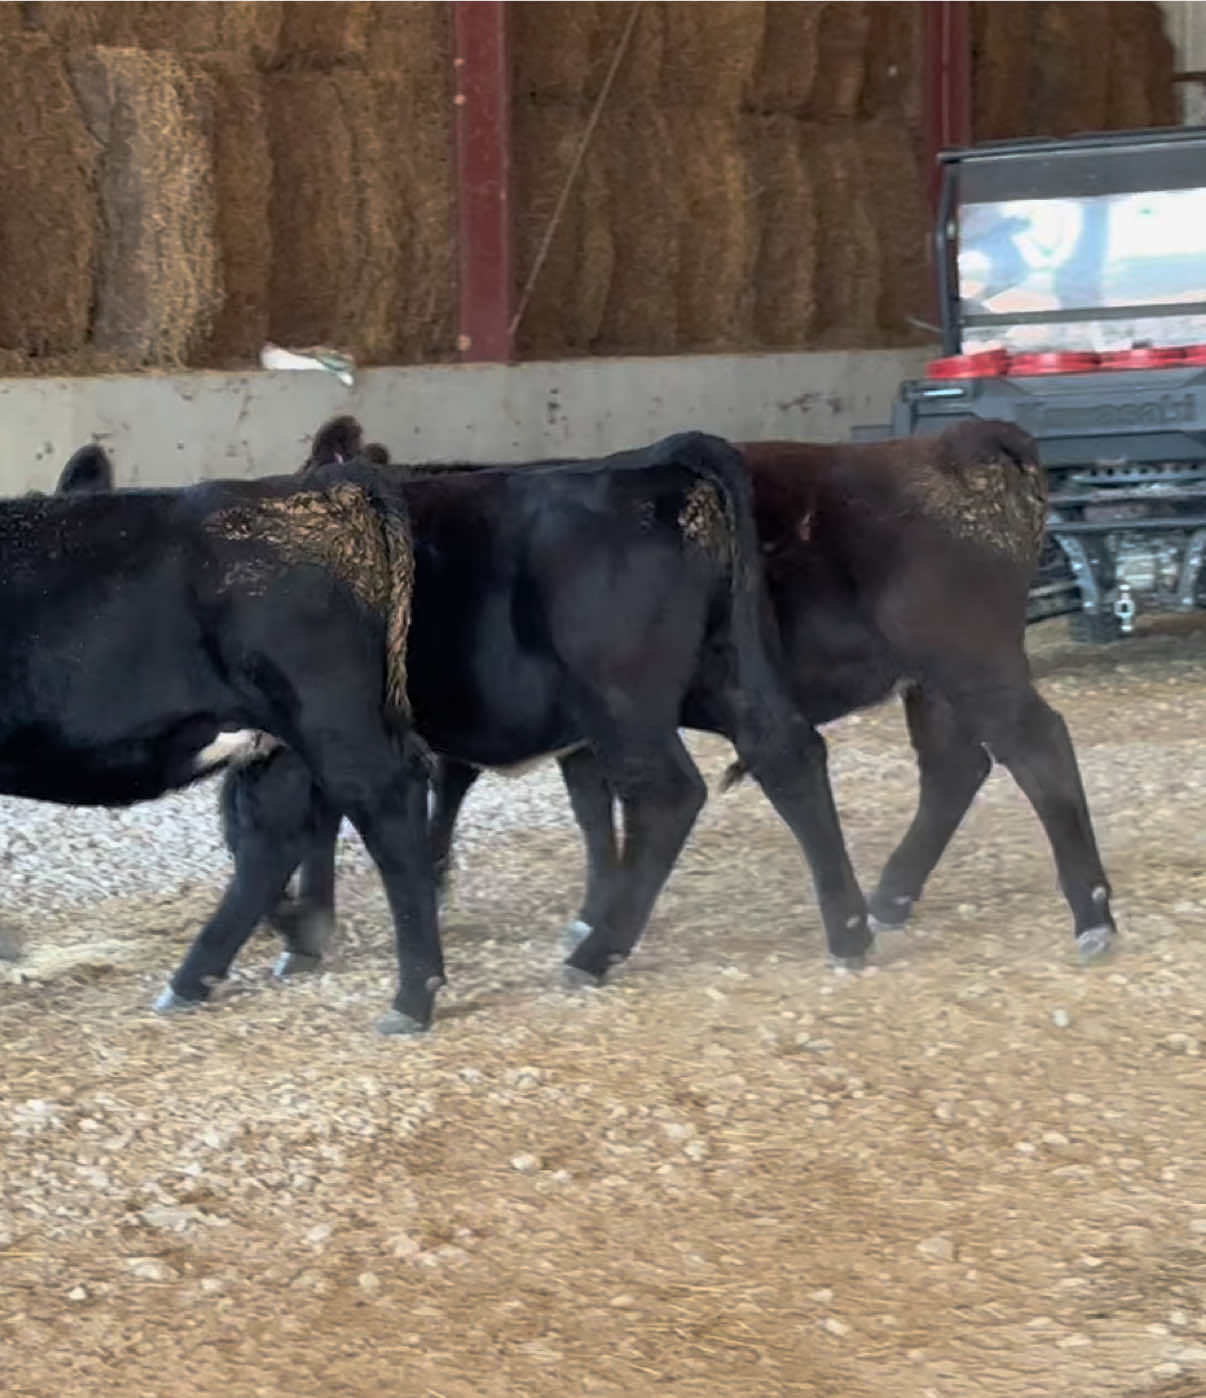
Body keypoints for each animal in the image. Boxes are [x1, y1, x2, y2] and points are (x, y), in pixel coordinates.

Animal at [8, 451, 441, 1033]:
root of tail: (326, 485)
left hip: (335, 726)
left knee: (387, 811)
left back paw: (412, 995)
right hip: (283, 744)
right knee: (272, 843)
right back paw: (211, 972)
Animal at [69, 424, 875, 1017]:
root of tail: (650, 466)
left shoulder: (307, 738)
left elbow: (276, 830)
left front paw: (302, 927)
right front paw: (314, 925)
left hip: (625, 699)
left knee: (669, 795)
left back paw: (595, 952)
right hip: (714, 675)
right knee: (786, 755)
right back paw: (850, 930)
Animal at [272, 418, 1116, 967]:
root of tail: (961, 441)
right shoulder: (568, 728)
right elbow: (582, 807)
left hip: (971, 660)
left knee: (1037, 750)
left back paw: (1092, 915)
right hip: (927, 683)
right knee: (947, 768)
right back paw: (886, 900)